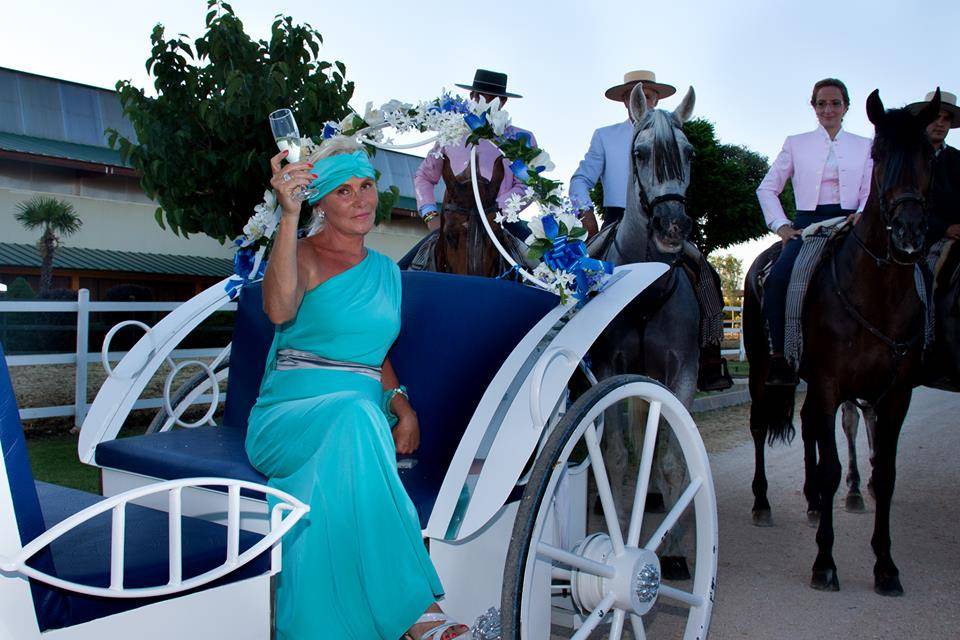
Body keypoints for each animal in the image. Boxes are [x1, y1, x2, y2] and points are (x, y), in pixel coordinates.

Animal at [744, 89, 936, 596]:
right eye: (879, 153)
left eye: (930, 155)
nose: (909, 233)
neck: (877, 290)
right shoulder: (831, 383)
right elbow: (832, 467)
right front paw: (825, 563)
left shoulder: (895, 394)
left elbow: (884, 474)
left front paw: (885, 566)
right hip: (761, 371)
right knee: (760, 428)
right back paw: (763, 503)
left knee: (810, 426)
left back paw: (812, 504)